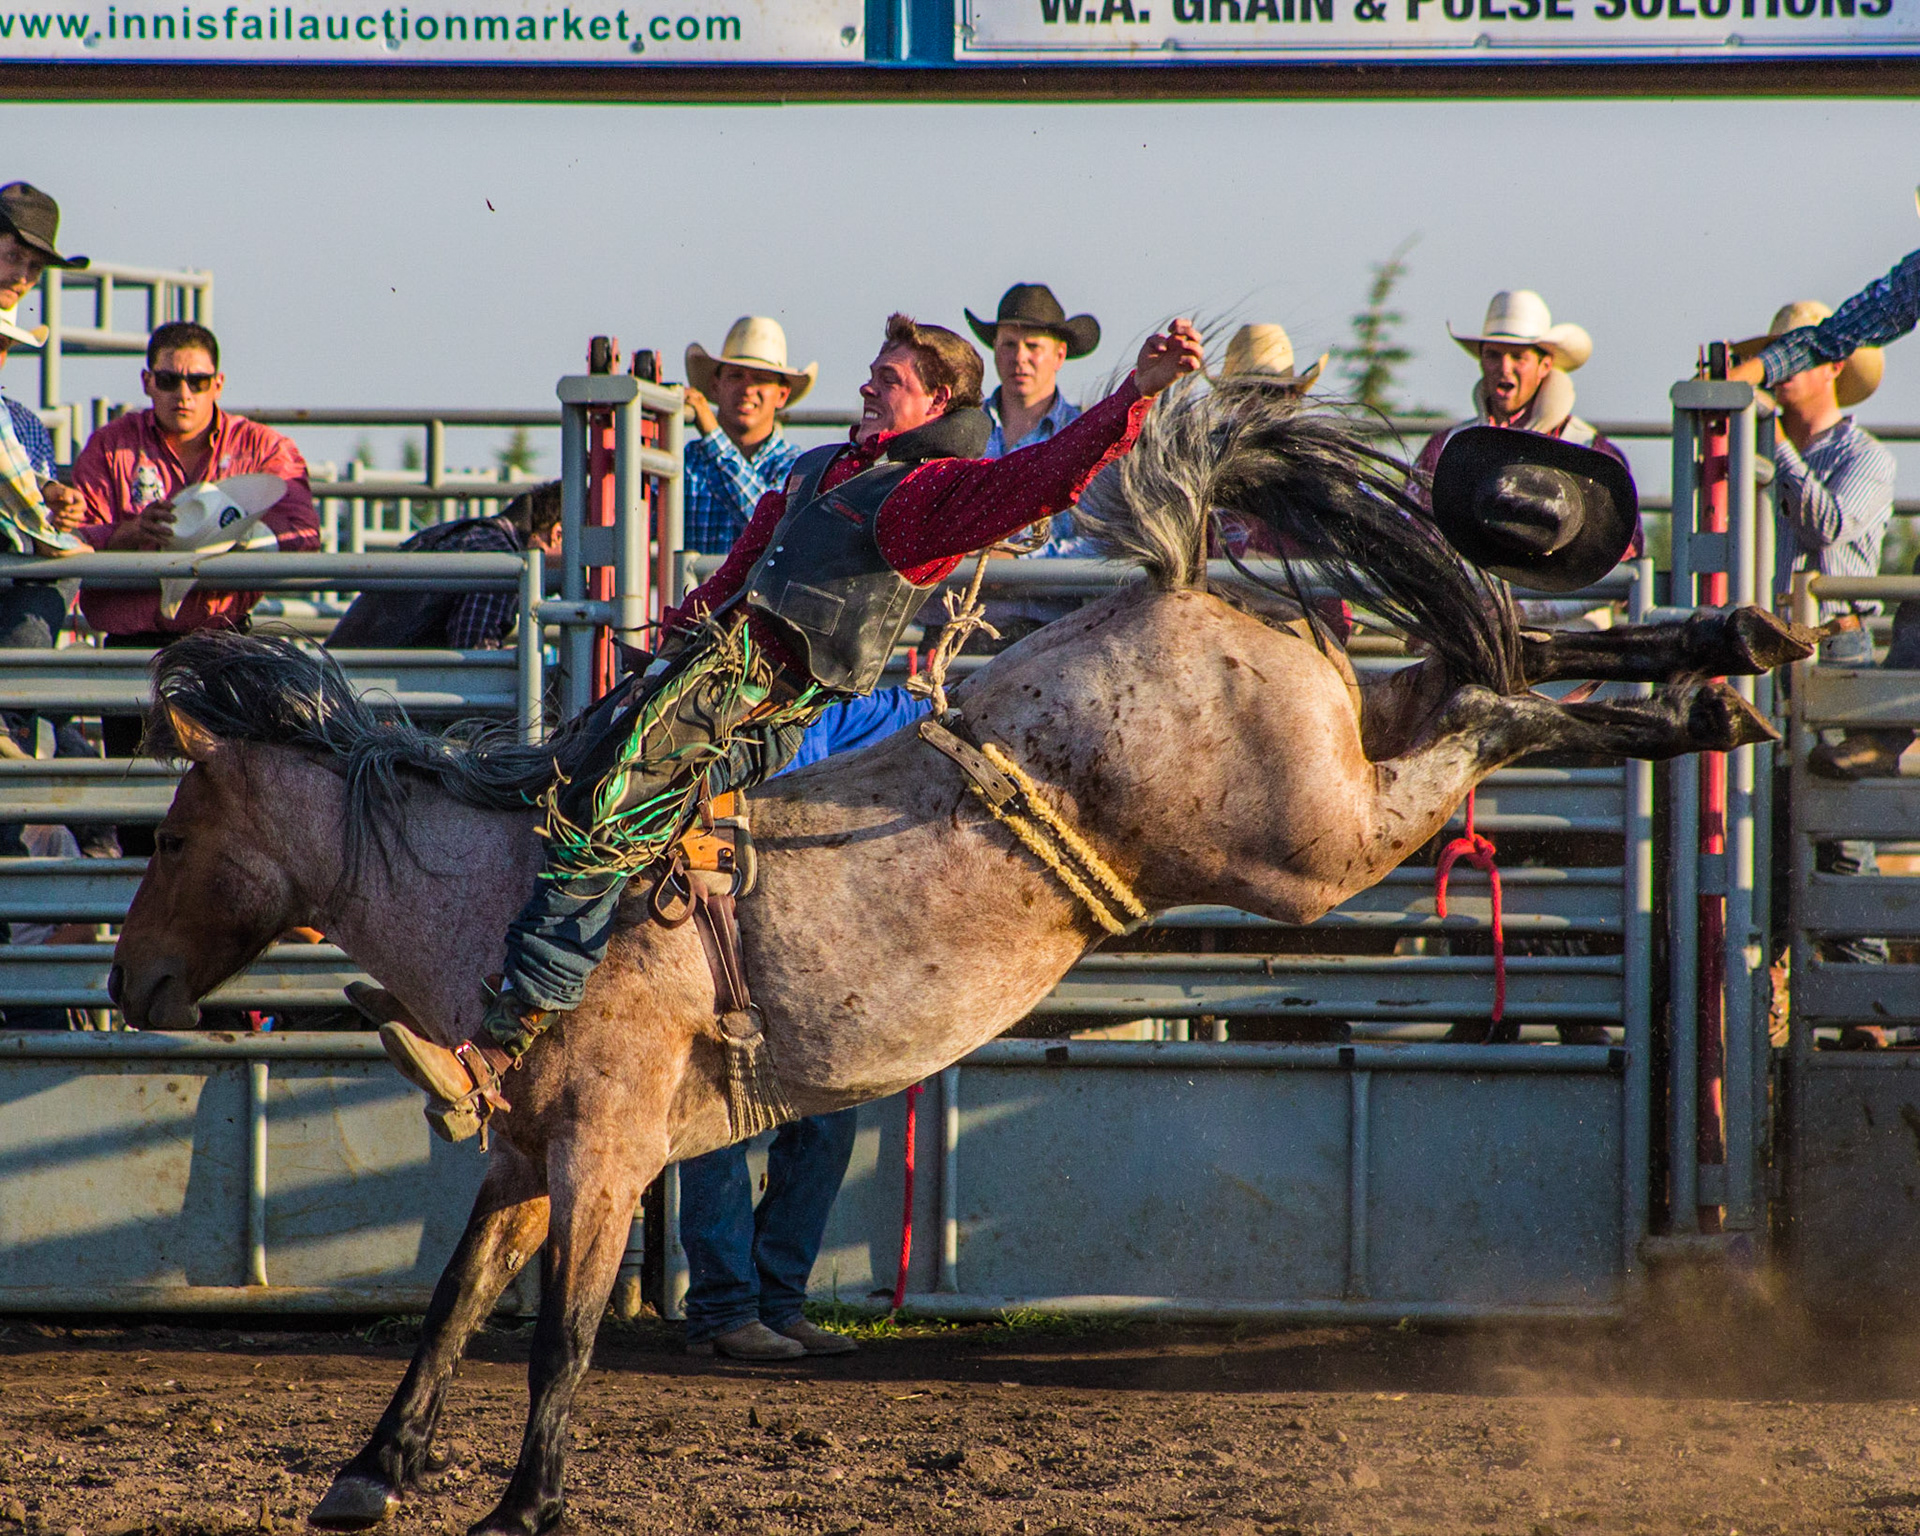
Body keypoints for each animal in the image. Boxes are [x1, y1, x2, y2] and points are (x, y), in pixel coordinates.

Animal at [107, 385, 1805, 1535]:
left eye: (172, 838)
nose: (128, 990)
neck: (506, 892)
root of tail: (1173, 590)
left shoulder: (605, 1157)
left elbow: (558, 1339)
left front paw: (524, 1505)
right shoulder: (528, 1159)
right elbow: (456, 1308)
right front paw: (369, 1473)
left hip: (1315, 846)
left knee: (1493, 706)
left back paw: (1716, 688)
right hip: (1339, 743)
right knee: (1478, 662)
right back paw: (1720, 659)